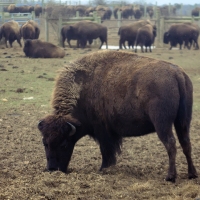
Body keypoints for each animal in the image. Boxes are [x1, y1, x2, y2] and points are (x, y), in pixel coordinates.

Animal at [37, 50, 197, 183]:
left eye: (64, 144)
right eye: (45, 143)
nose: (52, 169)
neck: (83, 89)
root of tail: (177, 74)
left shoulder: (103, 132)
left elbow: (106, 151)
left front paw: (103, 169)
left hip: (162, 124)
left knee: (171, 144)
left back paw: (170, 177)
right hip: (183, 121)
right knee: (186, 143)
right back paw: (192, 174)